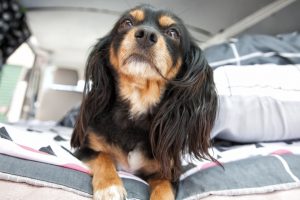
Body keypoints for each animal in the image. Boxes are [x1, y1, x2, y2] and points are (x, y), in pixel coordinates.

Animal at [72, 4, 218, 200]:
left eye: (173, 33)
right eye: (127, 23)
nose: (146, 34)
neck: (138, 101)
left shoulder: (167, 171)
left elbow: (163, 187)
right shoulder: (84, 150)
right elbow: (103, 156)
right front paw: (110, 187)